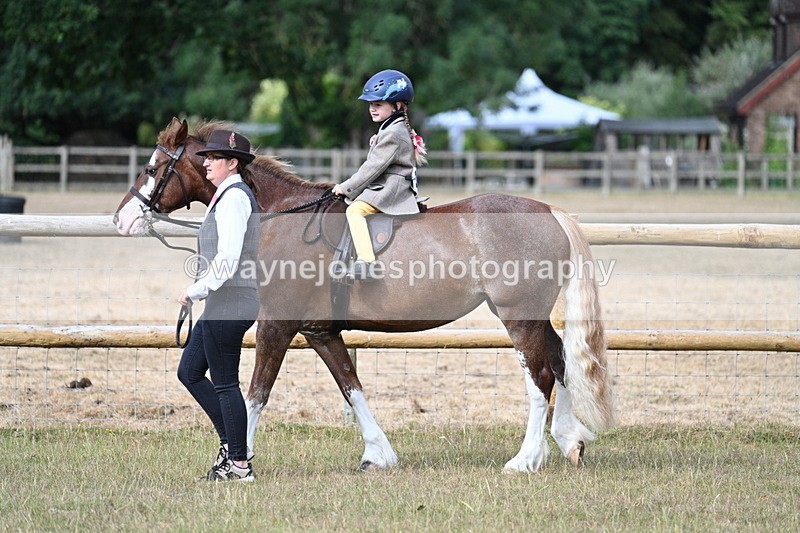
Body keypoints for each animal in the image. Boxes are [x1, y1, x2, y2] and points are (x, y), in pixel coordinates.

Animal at [115, 117, 614, 472]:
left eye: (152, 168)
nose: (122, 219)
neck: (282, 216)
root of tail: (548, 209)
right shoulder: (319, 332)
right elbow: (351, 386)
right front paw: (379, 455)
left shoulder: (277, 325)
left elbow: (256, 393)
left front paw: (237, 462)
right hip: (533, 316)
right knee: (560, 361)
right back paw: (570, 442)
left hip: (518, 316)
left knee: (541, 377)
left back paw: (525, 460)